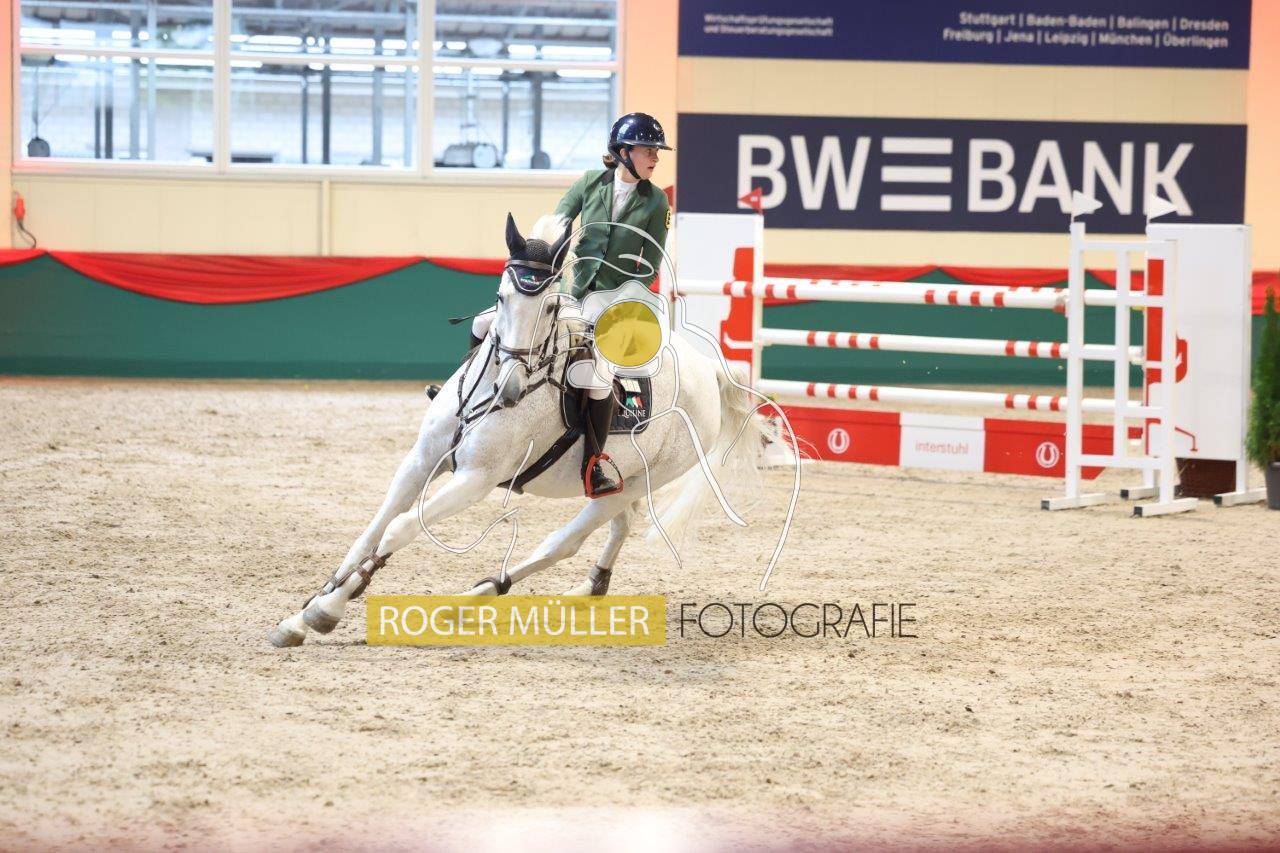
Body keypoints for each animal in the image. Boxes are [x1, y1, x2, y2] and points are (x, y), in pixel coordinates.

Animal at [267, 213, 764, 647]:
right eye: (502, 296)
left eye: (549, 305)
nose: (509, 389)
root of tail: (708, 368)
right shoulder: (421, 460)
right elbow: (373, 528)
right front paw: (312, 604)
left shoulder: (475, 480)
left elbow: (400, 529)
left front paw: (326, 610)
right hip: (623, 482)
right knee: (617, 526)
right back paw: (588, 588)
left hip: (641, 480)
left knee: (560, 544)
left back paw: (468, 600)